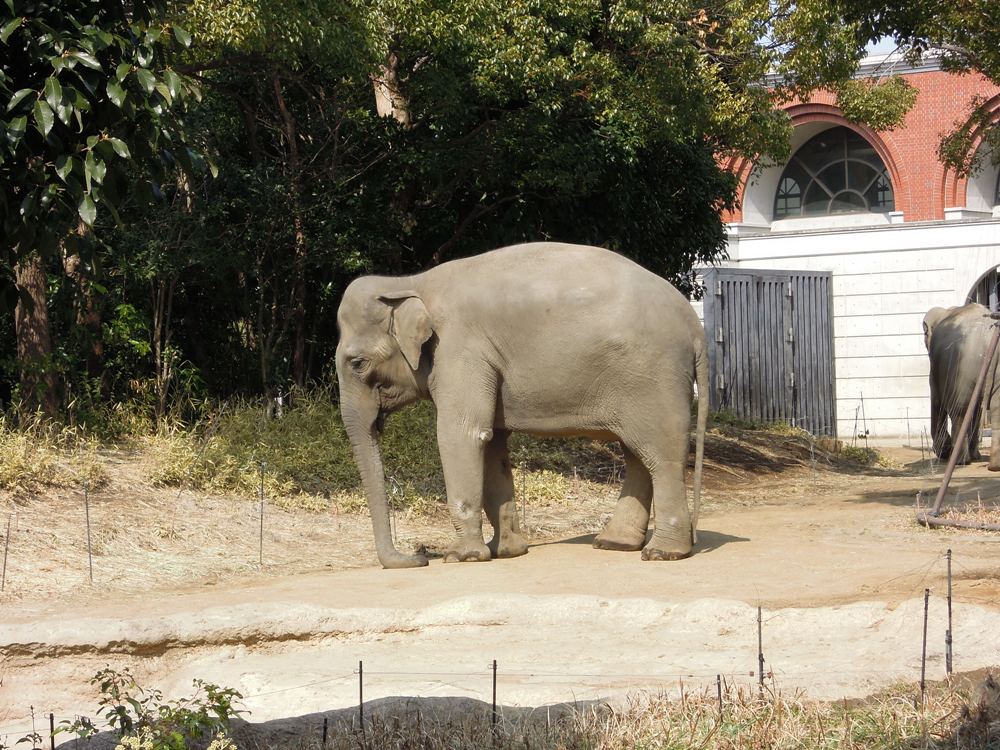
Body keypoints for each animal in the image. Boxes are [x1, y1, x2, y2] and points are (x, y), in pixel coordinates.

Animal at [335, 242, 708, 569]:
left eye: (357, 363)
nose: (420, 553)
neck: (409, 282)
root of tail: (695, 328)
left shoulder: (459, 348)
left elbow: (461, 434)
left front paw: (462, 557)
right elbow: (491, 443)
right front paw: (506, 552)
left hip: (654, 377)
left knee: (661, 455)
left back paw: (662, 553)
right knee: (637, 456)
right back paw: (614, 543)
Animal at [923, 302, 1000, 469]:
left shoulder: (934, 368)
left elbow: (937, 401)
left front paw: (943, 452)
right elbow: (976, 409)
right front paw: (976, 457)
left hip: (963, 366)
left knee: (959, 410)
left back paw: (960, 461)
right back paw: (993, 465)